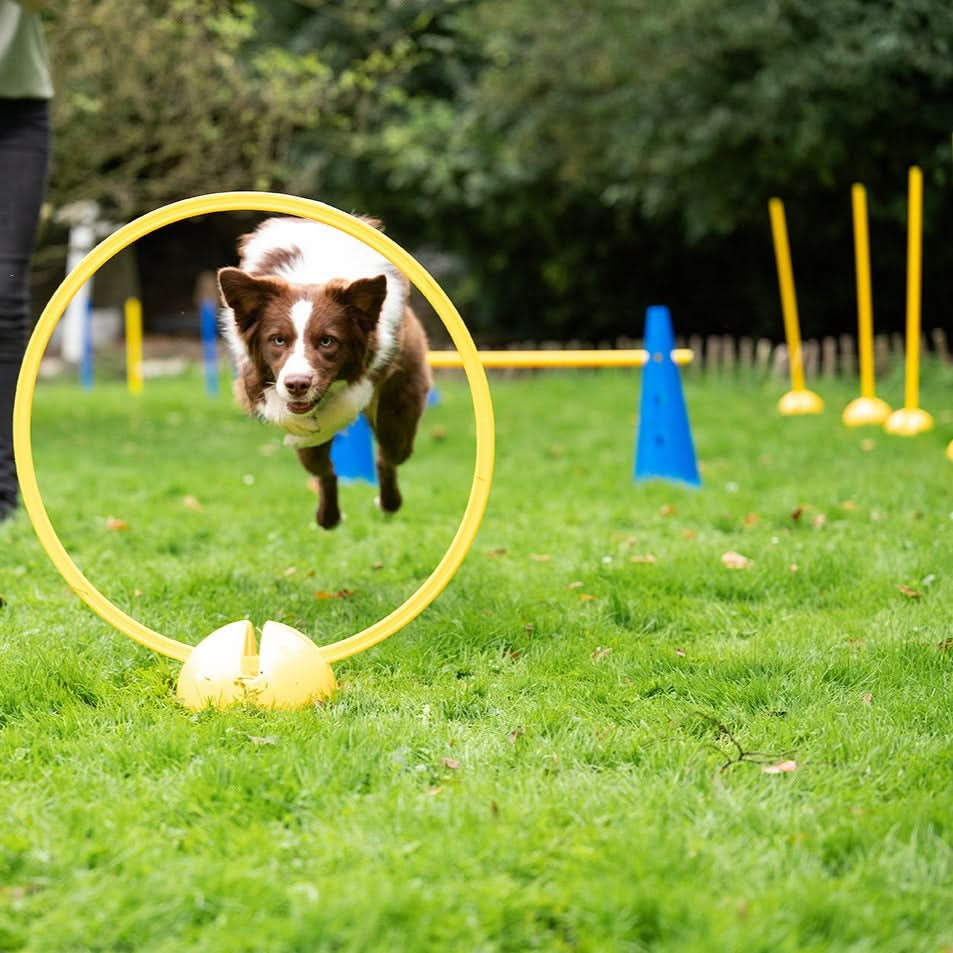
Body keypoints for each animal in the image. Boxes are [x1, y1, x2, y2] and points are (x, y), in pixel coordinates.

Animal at [218, 215, 430, 528]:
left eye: (327, 341)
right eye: (277, 340)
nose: (297, 384)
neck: (312, 276)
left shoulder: (377, 360)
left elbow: (347, 402)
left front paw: (315, 423)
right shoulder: (250, 370)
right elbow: (269, 400)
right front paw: (297, 425)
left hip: (399, 411)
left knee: (388, 457)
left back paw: (386, 502)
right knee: (325, 471)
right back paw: (328, 516)